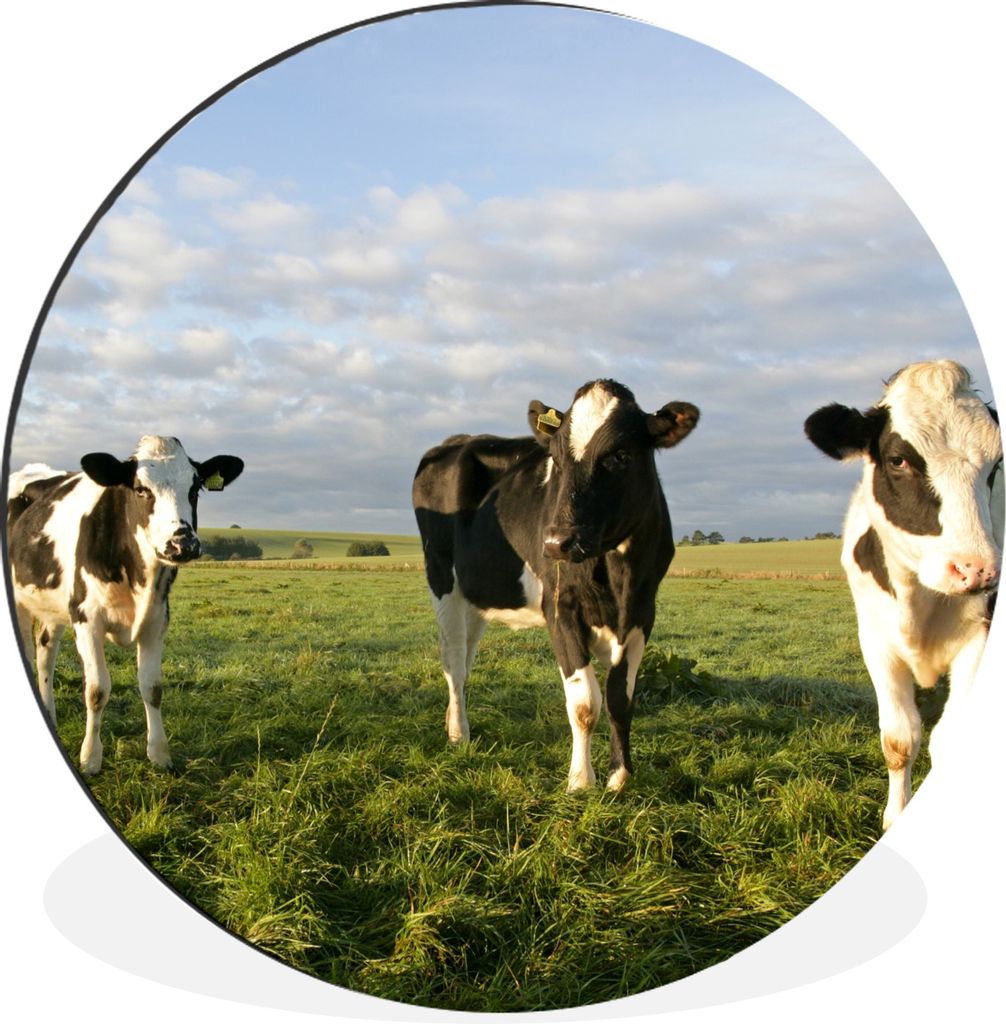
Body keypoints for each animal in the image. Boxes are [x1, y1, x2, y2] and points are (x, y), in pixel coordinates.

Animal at [6, 435, 244, 775]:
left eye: (195, 488)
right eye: (141, 489)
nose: (182, 543)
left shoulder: (157, 619)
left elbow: (152, 688)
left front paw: (159, 754)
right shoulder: (86, 618)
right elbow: (97, 690)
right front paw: (90, 758)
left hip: (55, 607)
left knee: (45, 654)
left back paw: (49, 716)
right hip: (23, 602)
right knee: (29, 653)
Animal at [412, 379, 699, 792]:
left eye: (621, 455)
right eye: (558, 461)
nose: (556, 543)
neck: (618, 578)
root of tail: (457, 440)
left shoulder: (643, 612)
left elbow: (620, 698)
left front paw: (620, 778)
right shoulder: (561, 608)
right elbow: (585, 703)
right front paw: (580, 781)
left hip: (477, 594)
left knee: (464, 659)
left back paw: (455, 724)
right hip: (440, 577)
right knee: (453, 661)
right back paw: (459, 734)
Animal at [804, 360, 1002, 829]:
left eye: (996, 466)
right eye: (898, 459)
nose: (977, 570)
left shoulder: (982, 635)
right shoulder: (876, 641)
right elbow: (899, 738)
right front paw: (896, 816)